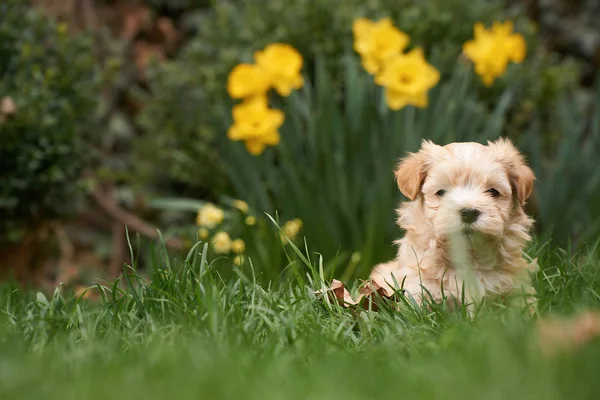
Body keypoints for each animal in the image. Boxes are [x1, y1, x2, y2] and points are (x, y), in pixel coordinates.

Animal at [372, 139, 536, 308]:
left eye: (493, 192)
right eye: (441, 192)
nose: (469, 213)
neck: (468, 257)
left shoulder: (518, 287)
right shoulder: (418, 290)